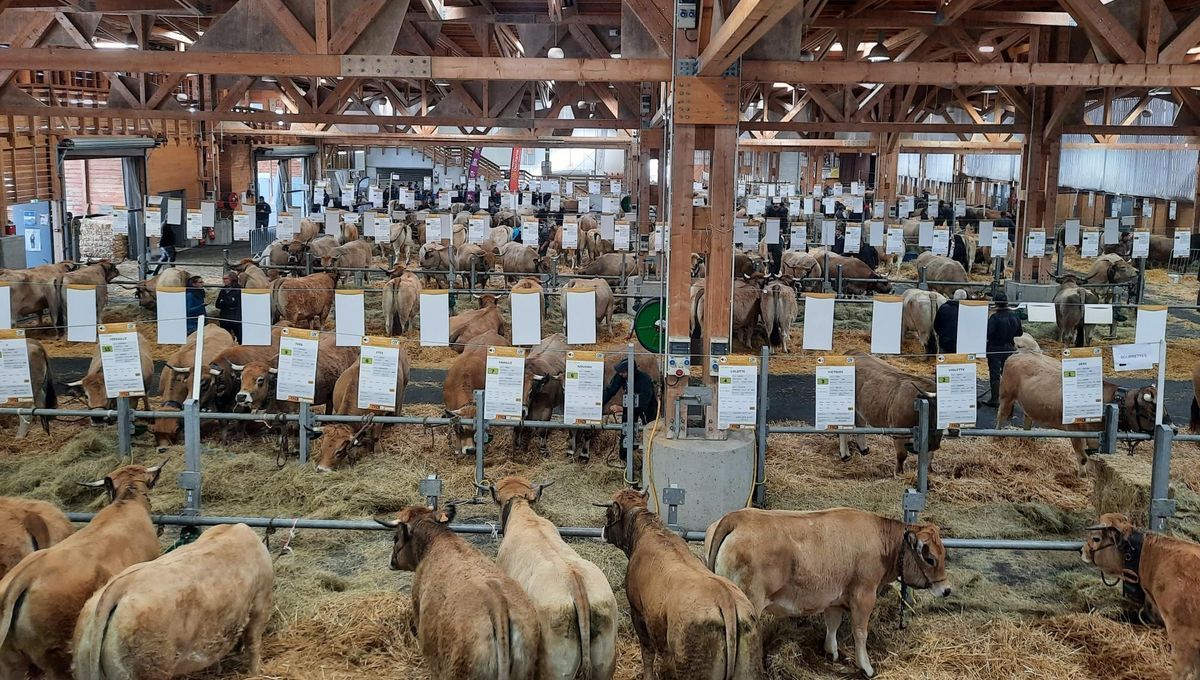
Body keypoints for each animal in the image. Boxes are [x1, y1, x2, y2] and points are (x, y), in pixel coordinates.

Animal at [72, 523, 273, 680]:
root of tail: (120, 585)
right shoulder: (261, 601)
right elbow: (254, 642)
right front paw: (256, 672)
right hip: (148, 666)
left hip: (83, 658)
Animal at [598, 488, 762, 679]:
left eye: (608, 514)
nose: (603, 532)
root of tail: (725, 598)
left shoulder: (637, 612)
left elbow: (647, 652)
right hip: (748, 669)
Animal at [706, 508, 950, 678]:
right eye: (930, 558)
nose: (947, 590)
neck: (882, 542)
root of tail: (738, 517)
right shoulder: (864, 595)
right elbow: (860, 632)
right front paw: (866, 667)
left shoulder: (835, 597)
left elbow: (832, 624)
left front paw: (831, 652)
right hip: (749, 603)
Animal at [997, 352, 1160, 476]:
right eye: (1151, 410)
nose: (1167, 427)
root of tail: (1018, 354)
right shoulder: (1075, 430)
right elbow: (1082, 458)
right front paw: (1082, 478)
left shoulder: (1094, 436)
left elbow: (1093, 458)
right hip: (1006, 396)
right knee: (1001, 417)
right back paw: (997, 439)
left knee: (1027, 419)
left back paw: (1027, 442)